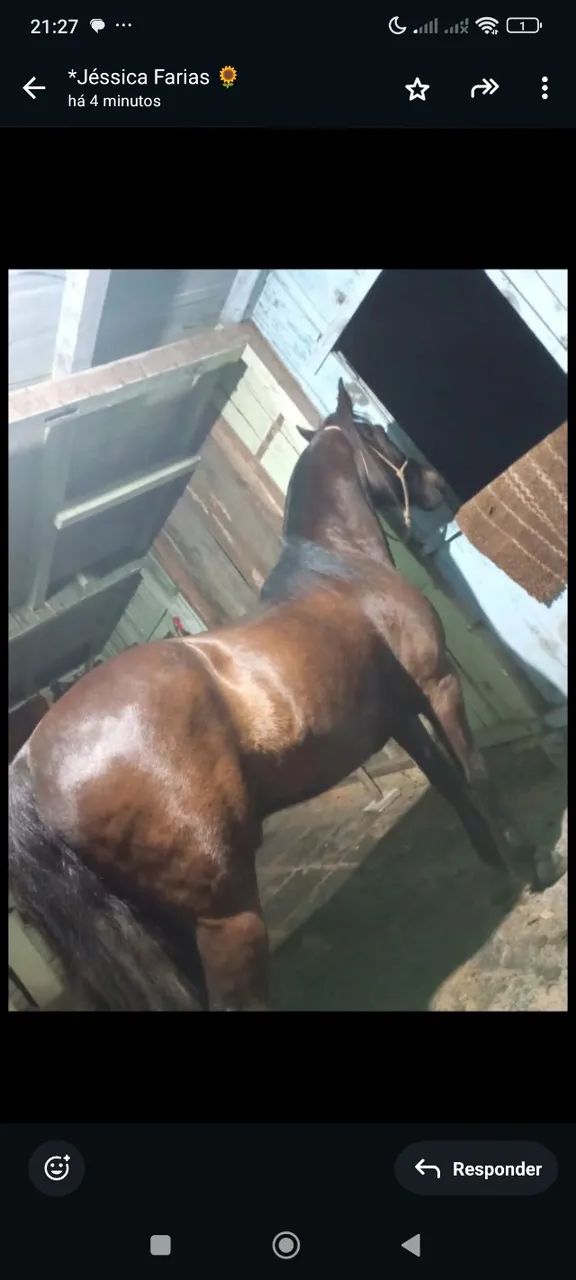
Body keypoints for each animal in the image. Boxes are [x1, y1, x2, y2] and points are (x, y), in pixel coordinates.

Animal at [8, 379, 543, 1012]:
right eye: (375, 433)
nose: (437, 484)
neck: (343, 568)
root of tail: (31, 765)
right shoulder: (438, 684)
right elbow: (476, 770)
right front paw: (528, 861)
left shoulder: (399, 716)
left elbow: (447, 779)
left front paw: (489, 858)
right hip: (228, 916)